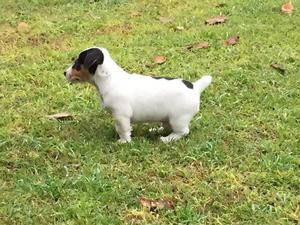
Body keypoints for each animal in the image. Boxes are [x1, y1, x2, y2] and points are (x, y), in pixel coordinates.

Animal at [64, 47, 212, 142]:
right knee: (166, 126)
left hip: (178, 119)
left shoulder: (121, 115)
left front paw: (124, 141)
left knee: (183, 131)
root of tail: (195, 87)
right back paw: (156, 130)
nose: (64, 73)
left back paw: (168, 139)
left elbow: (122, 129)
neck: (109, 79)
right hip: (167, 117)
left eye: (77, 63)